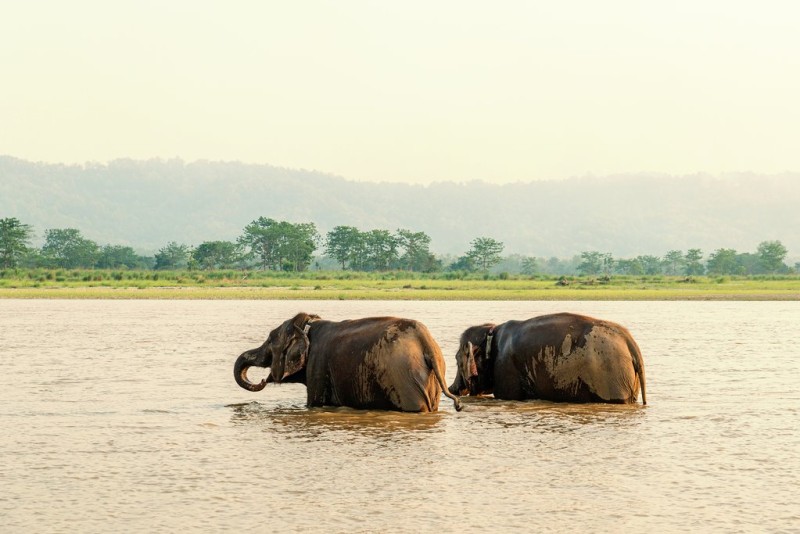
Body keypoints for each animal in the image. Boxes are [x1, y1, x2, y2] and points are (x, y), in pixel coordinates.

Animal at [233, 314, 462, 414]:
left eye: (270, 340)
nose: (263, 380)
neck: (308, 323)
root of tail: (424, 339)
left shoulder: (317, 366)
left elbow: (315, 403)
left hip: (405, 380)